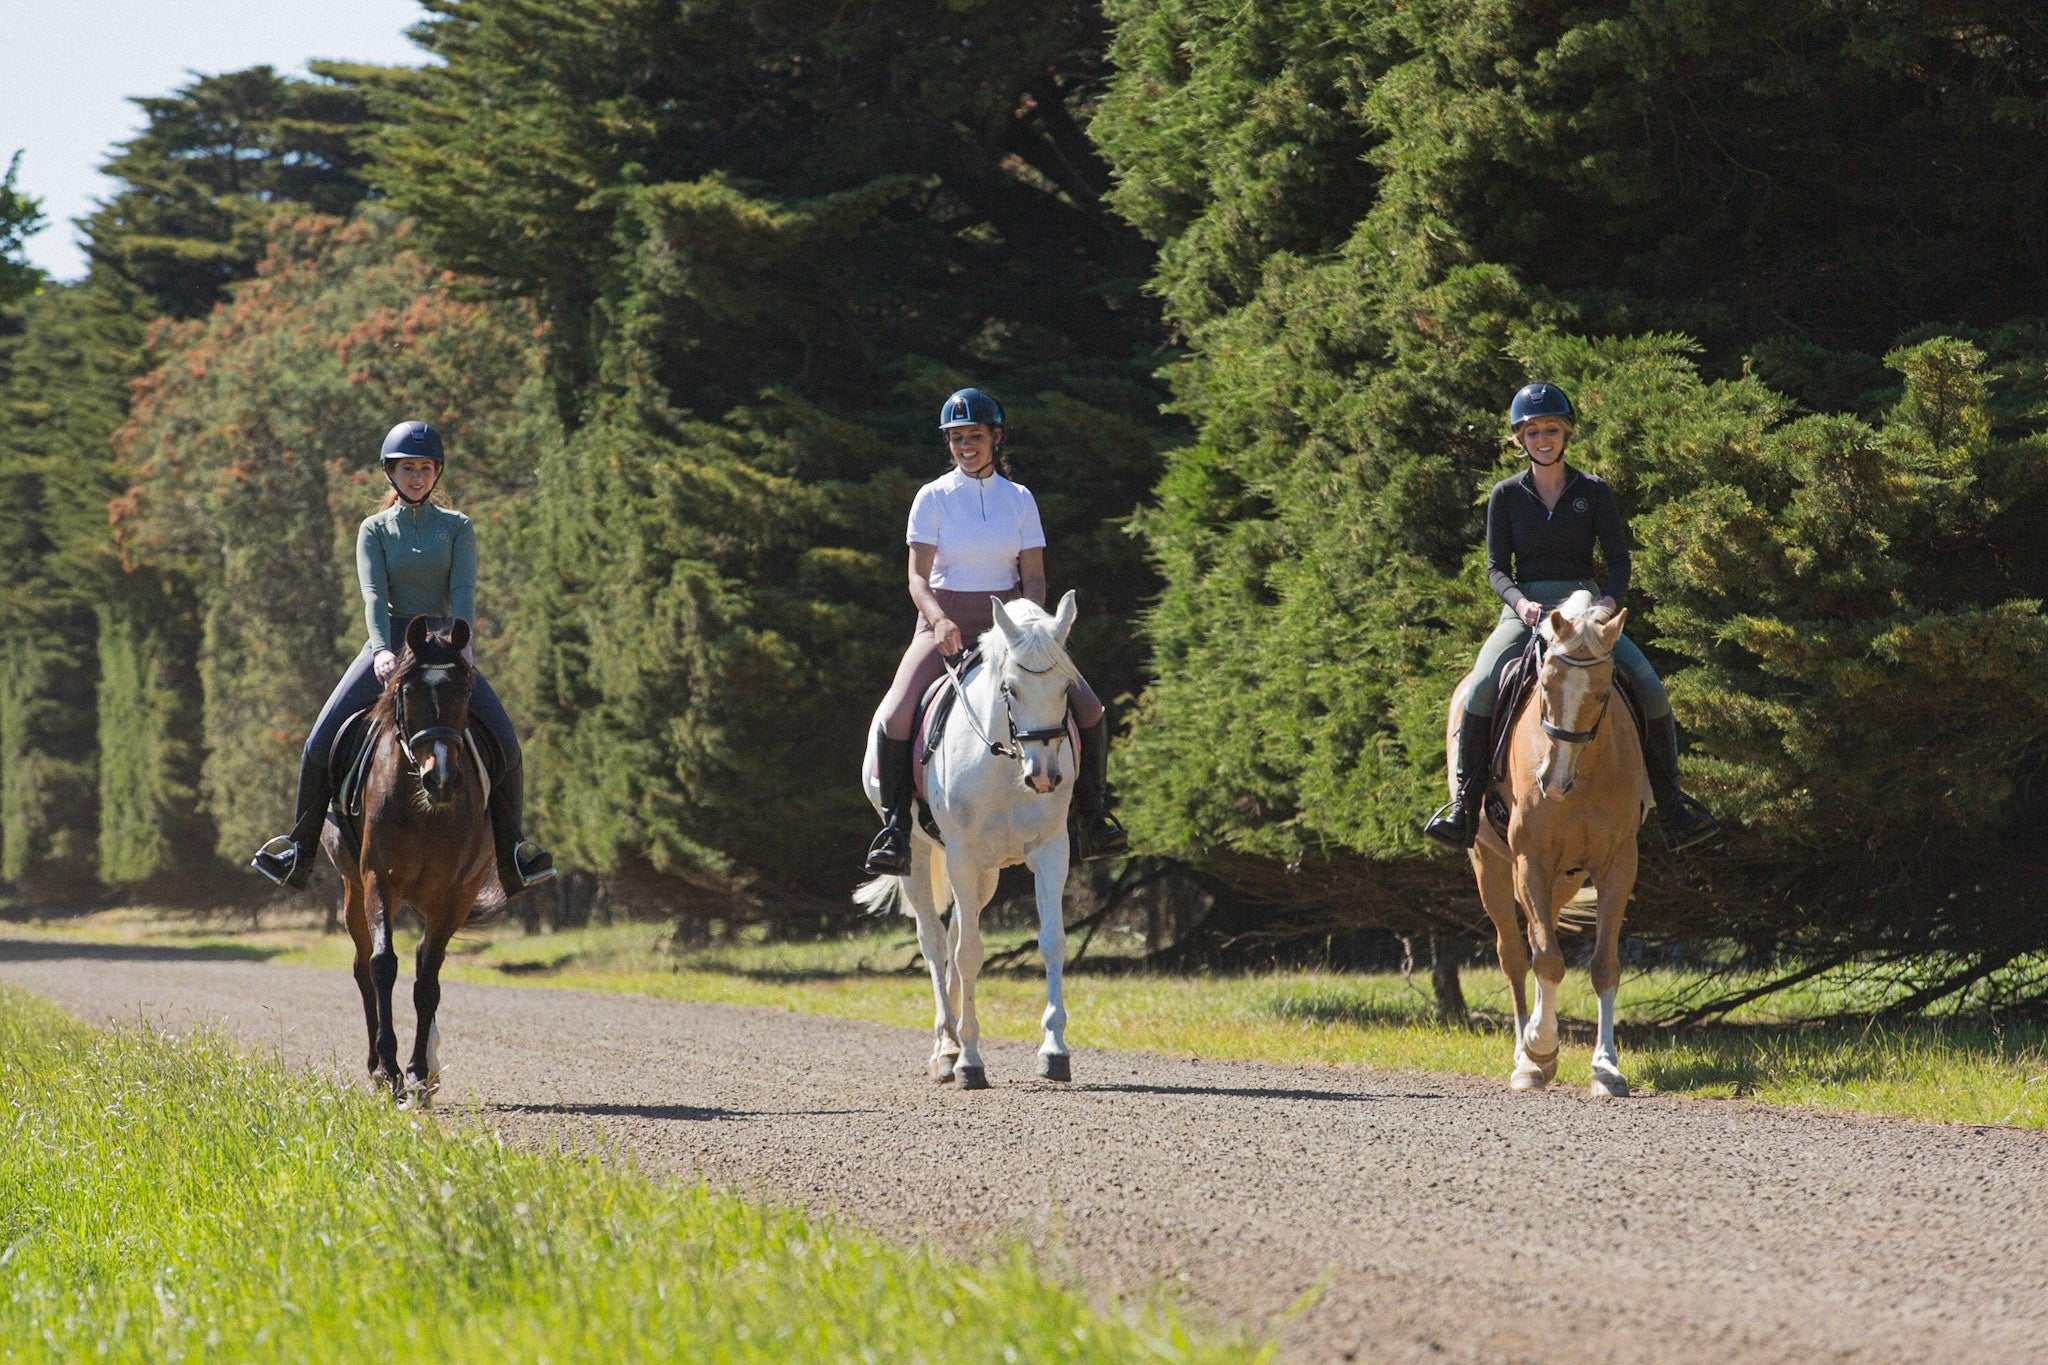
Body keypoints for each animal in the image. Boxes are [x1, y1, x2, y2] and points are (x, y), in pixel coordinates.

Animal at [327, 618, 503, 1113]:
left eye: (464, 689)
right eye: (408, 690)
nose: (439, 777)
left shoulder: (453, 893)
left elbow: (427, 981)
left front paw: (419, 1074)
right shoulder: (377, 881)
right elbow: (384, 965)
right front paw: (389, 1072)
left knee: (427, 961)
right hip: (352, 892)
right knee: (363, 968)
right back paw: (375, 1066)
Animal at [856, 593, 1089, 1096]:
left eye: (1066, 688)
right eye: (1011, 689)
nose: (1045, 777)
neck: (1006, 763)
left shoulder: (1051, 851)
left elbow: (1052, 942)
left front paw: (1054, 1051)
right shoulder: (960, 855)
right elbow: (965, 955)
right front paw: (969, 1061)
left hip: (986, 873)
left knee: (958, 931)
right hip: (923, 857)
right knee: (934, 941)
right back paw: (946, 1051)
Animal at [1449, 593, 1654, 1096]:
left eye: (1603, 694)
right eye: (1544, 684)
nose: (1554, 782)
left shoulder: (1618, 865)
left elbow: (1602, 966)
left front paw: (1605, 1066)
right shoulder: (1530, 862)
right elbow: (1545, 959)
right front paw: (1538, 1049)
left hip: (1566, 877)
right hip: (1490, 865)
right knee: (1514, 954)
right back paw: (1525, 1055)